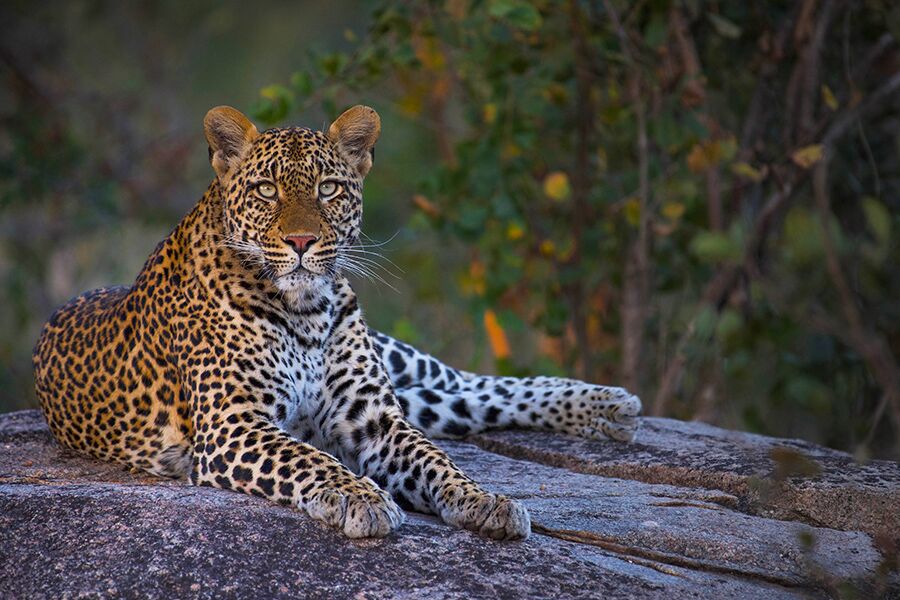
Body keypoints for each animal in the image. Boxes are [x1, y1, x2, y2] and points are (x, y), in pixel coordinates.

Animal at [33, 105, 641, 540]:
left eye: (328, 188)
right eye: (266, 190)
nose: (302, 242)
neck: (304, 309)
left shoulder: (373, 418)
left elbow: (434, 460)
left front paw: (481, 500)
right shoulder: (234, 425)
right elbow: (310, 457)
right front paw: (361, 498)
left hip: (399, 362)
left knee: (478, 385)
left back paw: (607, 404)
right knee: (465, 404)